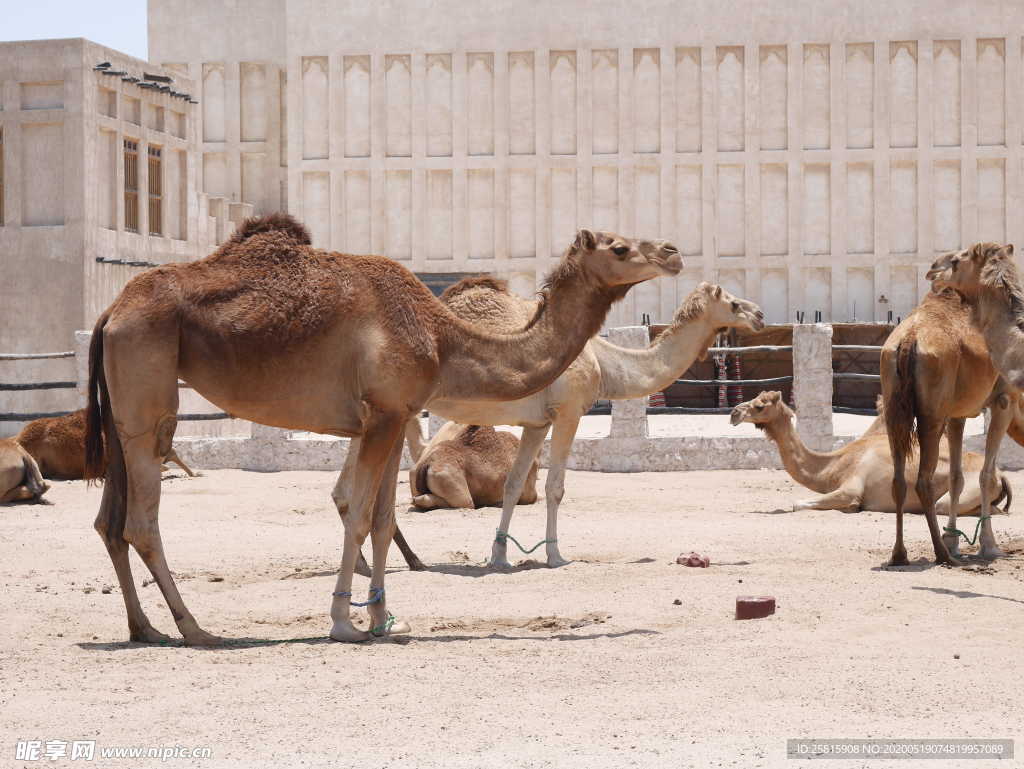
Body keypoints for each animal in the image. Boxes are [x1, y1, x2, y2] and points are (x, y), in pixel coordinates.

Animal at [733, 391, 1011, 518]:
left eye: (760, 406)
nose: (734, 412)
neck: (835, 464)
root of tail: (1000, 475)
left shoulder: (852, 486)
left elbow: (797, 503)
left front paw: (851, 508)